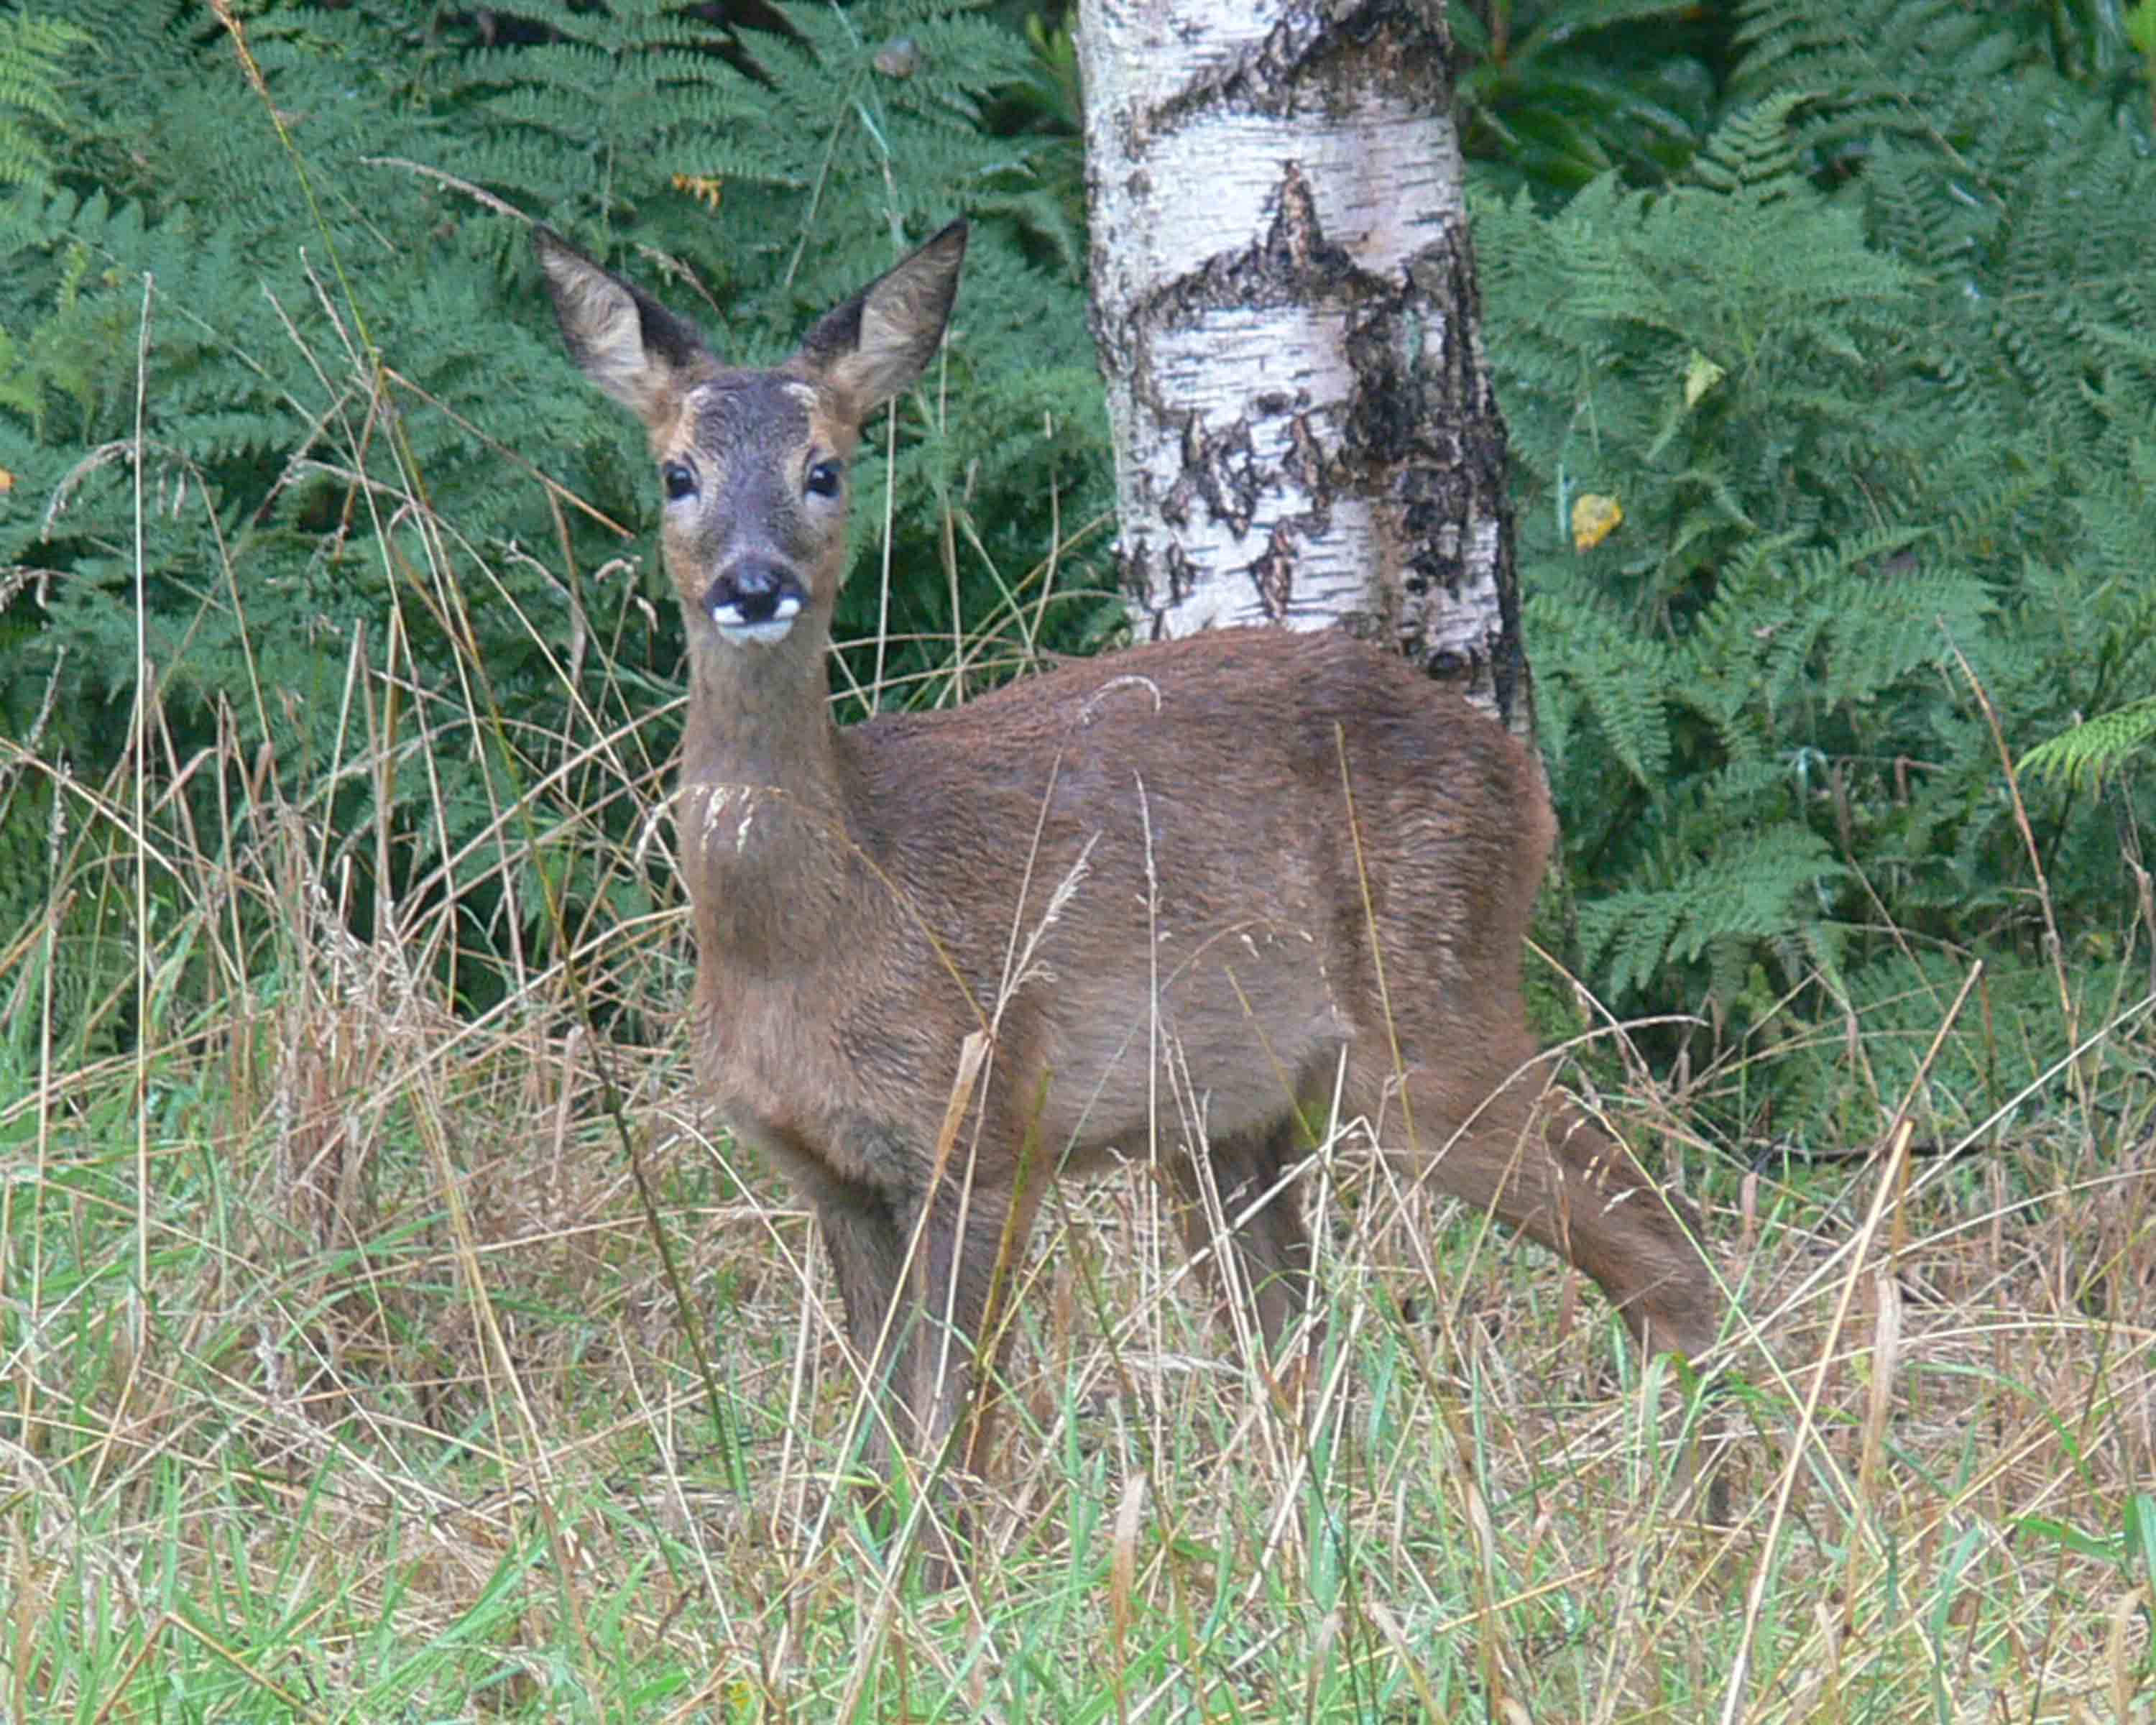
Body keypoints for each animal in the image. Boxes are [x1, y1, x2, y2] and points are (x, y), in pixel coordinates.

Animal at [535, 216, 1716, 1578]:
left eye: (824, 469)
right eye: (678, 475)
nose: (753, 582)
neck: (815, 929)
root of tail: (1523, 781)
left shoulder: (986, 1119)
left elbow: (954, 1422)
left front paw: (942, 1591)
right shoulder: (828, 1170)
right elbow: (884, 1433)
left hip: (1429, 1014)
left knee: (1661, 1252)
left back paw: (1720, 1520)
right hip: (1237, 1122)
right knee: (1303, 1345)